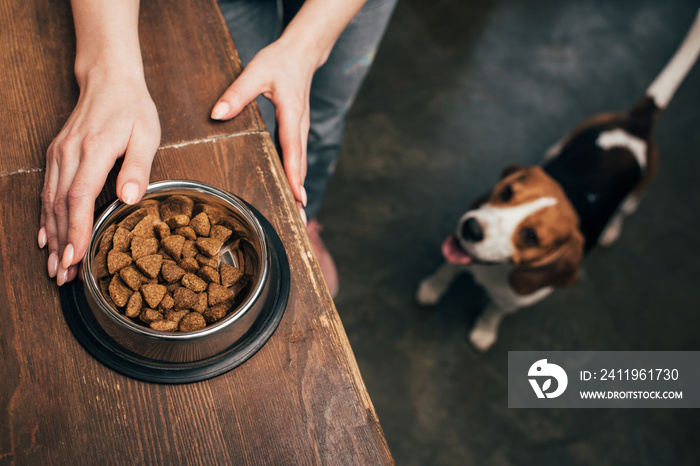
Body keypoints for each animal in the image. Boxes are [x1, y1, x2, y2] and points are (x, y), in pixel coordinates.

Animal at [418, 10, 696, 350]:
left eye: (531, 236)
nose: (470, 228)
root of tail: (637, 124)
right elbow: (446, 271)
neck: (497, 271)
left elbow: (495, 312)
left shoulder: (512, 302)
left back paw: (610, 231)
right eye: (506, 193)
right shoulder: (458, 254)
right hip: (561, 143)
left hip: (634, 196)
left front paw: (484, 332)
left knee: (624, 212)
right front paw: (431, 289)